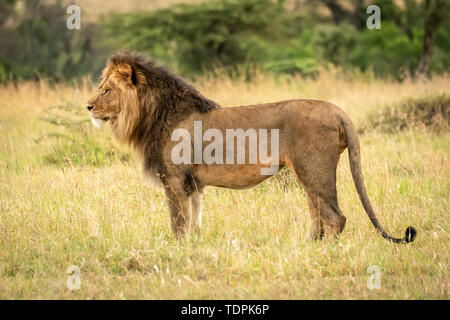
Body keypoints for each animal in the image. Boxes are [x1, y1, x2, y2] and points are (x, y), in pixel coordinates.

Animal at [86, 52, 416, 242]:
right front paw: (194, 247)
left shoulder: (175, 180)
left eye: (106, 90)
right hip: (307, 173)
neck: (151, 114)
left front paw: (177, 250)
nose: (87, 106)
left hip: (314, 169)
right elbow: (194, 220)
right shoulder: (193, 183)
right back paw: (307, 245)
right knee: (318, 213)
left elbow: (178, 221)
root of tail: (338, 110)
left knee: (335, 216)